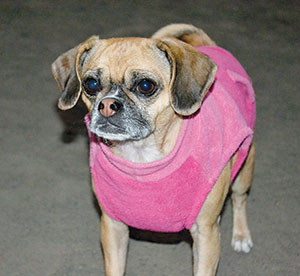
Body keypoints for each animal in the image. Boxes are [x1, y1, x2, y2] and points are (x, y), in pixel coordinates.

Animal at [51, 24, 255, 276]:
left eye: (145, 86)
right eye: (90, 84)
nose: (107, 105)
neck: (141, 157)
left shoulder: (206, 234)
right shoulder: (113, 227)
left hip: (244, 169)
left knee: (239, 199)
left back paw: (241, 235)